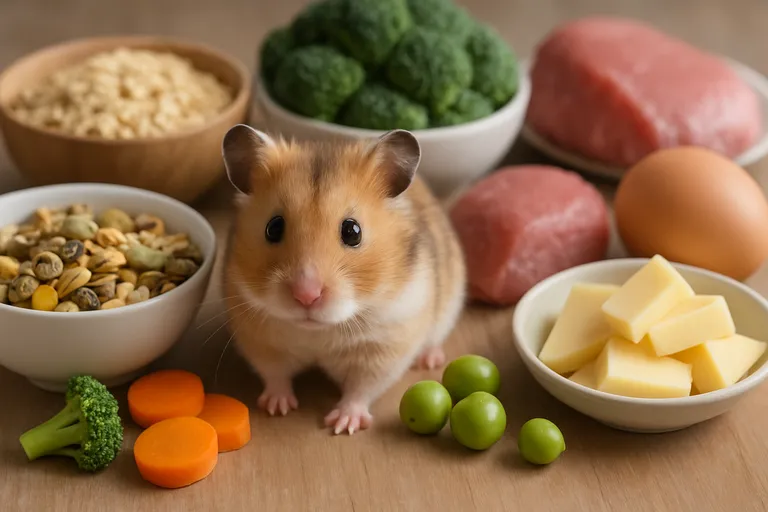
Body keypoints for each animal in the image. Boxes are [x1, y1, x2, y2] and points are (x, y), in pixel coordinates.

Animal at [220, 125, 466, 435]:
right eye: (273, 228)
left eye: (353, 231)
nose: (306, 295)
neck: (318, 332)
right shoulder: (259, 340)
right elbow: (275, 375)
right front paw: (277, 408)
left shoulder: (384, 347)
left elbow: (361, 389)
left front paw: (341, 425)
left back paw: (429, 359)